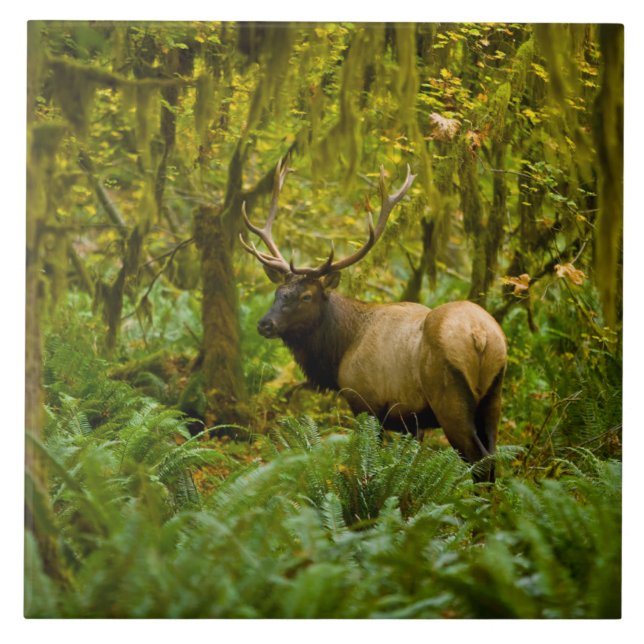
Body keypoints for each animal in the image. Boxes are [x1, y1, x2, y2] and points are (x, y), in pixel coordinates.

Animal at [240, 159, 507, 483]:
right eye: (278, 292)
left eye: (306, 296)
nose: (264, 324)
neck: (340, 351)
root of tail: (481, 336)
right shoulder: (410, 421)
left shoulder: (365, 402)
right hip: (494, 394)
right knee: (492, 458)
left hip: (451, 397)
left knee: (478, 461)